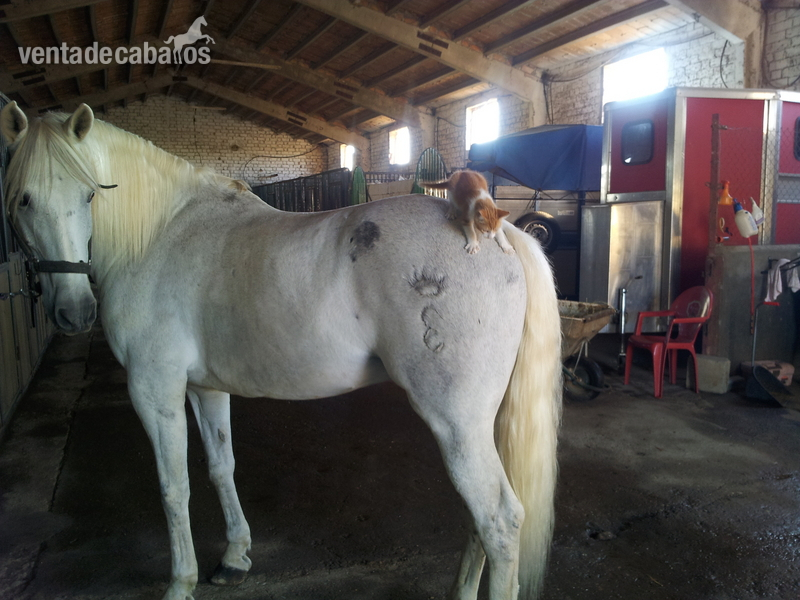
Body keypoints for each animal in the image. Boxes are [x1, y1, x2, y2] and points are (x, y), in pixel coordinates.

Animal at [0, 101, 562, 600]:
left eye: (88, 195)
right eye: (23, 199)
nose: (74, 312)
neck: (159, 236)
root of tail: (490, 226)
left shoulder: (154, 391)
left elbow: (173, 488)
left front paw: (180, 583)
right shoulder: (204, 389)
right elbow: (219, 467)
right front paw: (234, 559)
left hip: (456, 421)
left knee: (499, 520)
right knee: (479, 518)